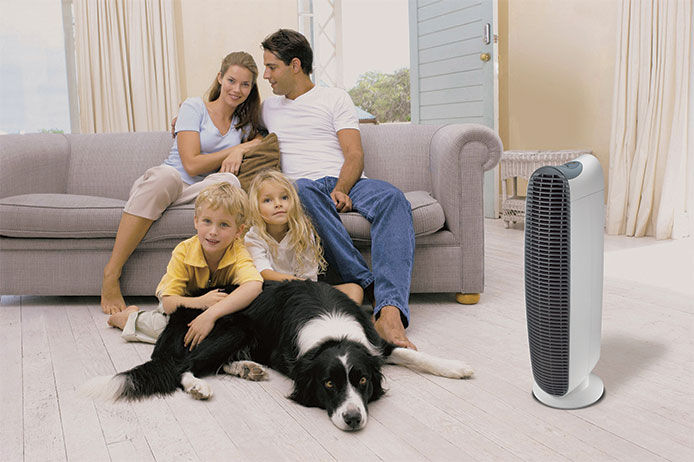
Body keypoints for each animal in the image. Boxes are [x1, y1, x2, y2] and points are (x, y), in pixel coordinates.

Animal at [81, 280, 474, 432]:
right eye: (328, 384)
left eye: (362, 380)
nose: (352, 419)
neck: (332, 332)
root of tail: (182, 307)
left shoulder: (374, 343)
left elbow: (410, 354)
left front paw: (456, 367)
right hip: (232, 326)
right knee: (184, 366)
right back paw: (198, 386)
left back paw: (247, 368)